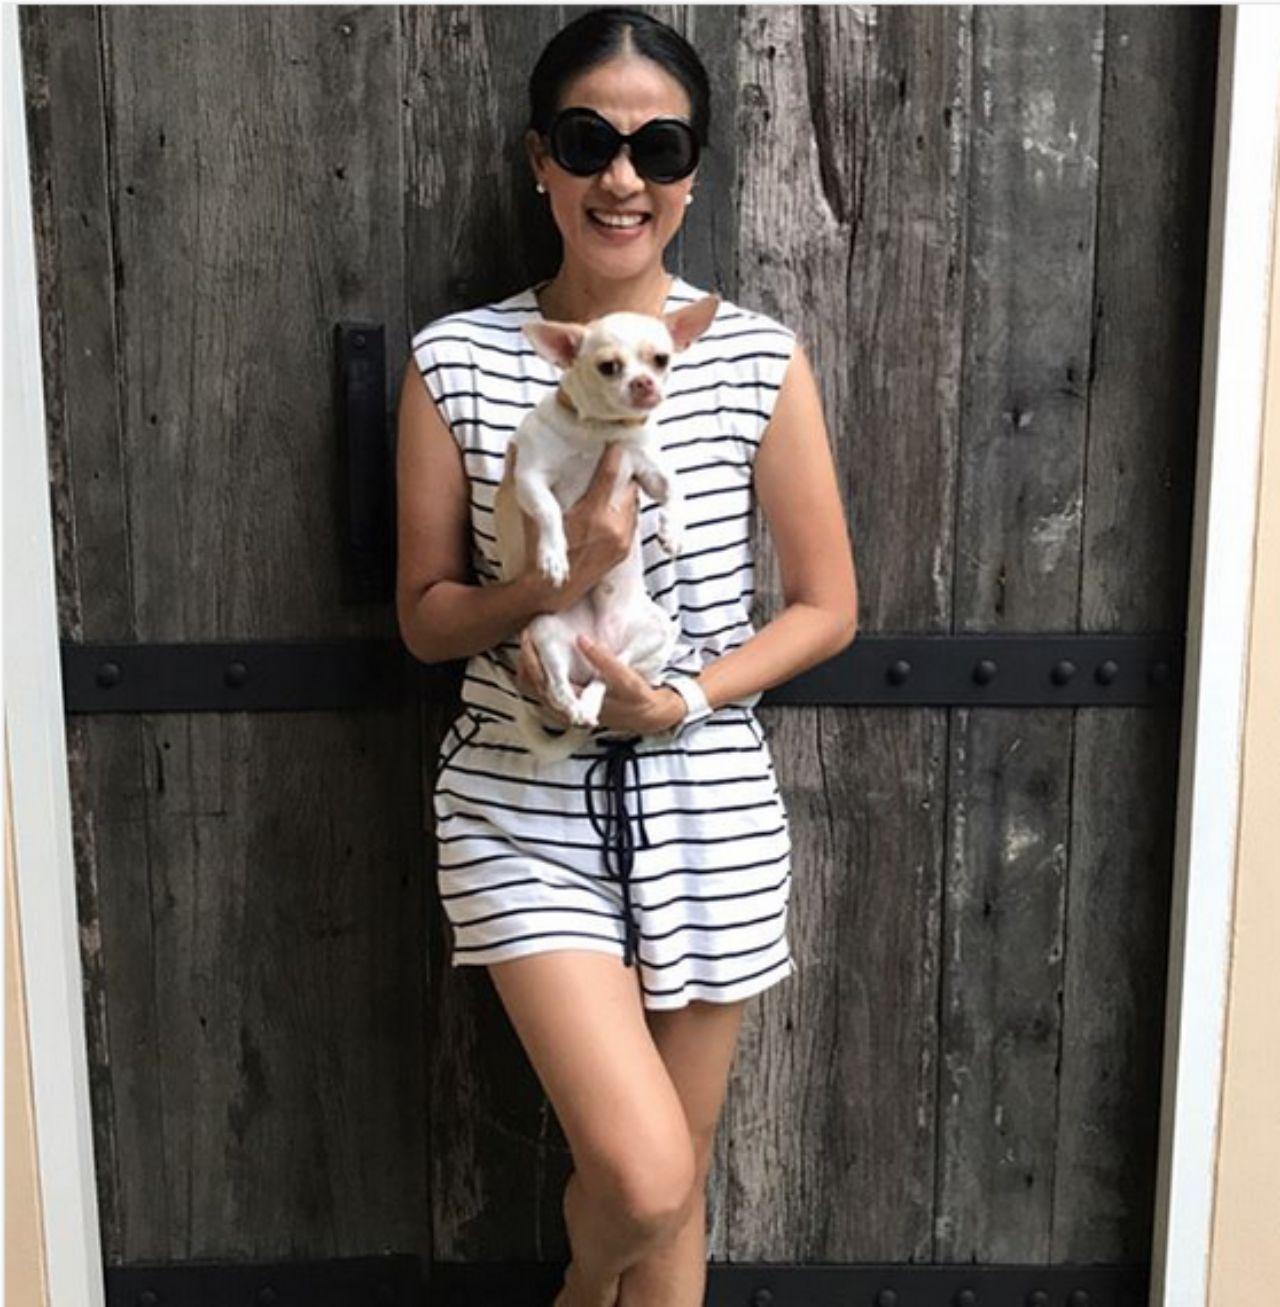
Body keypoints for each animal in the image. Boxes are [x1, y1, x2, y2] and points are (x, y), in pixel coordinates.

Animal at [492, 292, 721, 762]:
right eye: (608, 366)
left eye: (661, 360)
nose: (645, 384)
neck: (599, 430)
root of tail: (600, 645)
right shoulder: (530, 478)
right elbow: (550, 512)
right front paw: (554, 556)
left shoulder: (647, 471)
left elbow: (675, 487)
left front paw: (673, 531)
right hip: (545, 630)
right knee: (560, 683)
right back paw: (571, 704)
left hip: (650, 636)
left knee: (607, 676)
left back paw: (590, 700)